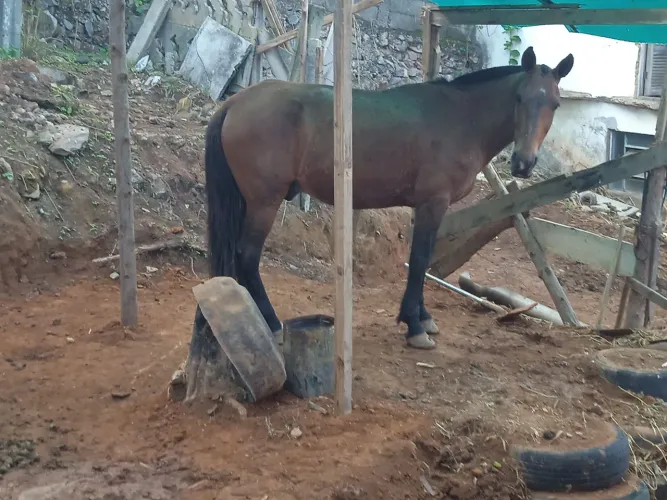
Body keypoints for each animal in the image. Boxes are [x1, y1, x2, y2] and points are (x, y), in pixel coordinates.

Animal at [185, 45, 573, 394]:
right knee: (247, 256)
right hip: (264, 202)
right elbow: (420, 260)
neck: (462, 118)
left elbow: (421, 261)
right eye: (520, 98)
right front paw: (415, 326)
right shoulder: (433, 203)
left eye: (555, 104)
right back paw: (271, 321)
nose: (523, 163)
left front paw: (422, 317)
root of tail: (235, 103)